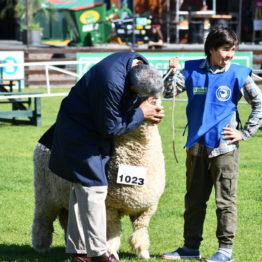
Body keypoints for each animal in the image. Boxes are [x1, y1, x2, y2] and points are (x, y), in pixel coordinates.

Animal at [31, 119, 166, 260]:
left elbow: (140, 231)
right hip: (45, 195)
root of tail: (41, 144)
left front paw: (142, 252)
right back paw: (41, 247)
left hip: (64, 198)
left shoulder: (146, 209)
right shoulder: (109, 207)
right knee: (42, 219)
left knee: (66, 220)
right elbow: (113, 231)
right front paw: (111, 252)